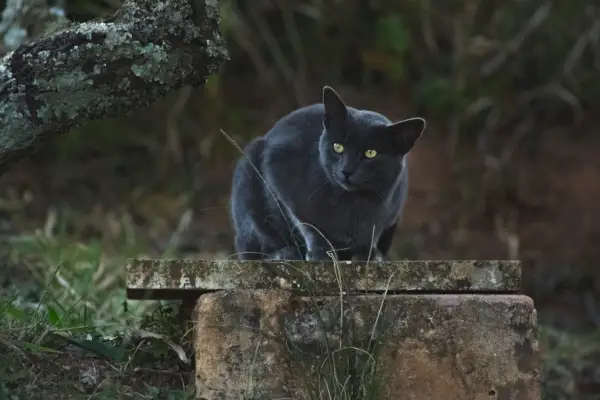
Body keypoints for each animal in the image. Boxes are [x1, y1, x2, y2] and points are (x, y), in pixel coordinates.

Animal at [230, 87, 426, 260]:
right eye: (337, 147)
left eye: (371, 153)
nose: (346, 170)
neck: (352, 203)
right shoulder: (276, 168)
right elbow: (305, 222)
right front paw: (321, 252)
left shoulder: (393, 209)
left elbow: (373, 232)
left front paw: (369, 254)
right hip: (249, 172)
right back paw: (284, 254)